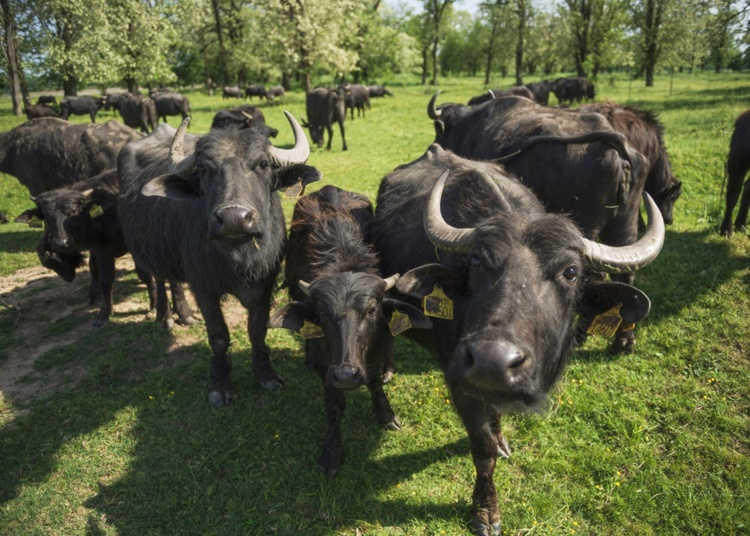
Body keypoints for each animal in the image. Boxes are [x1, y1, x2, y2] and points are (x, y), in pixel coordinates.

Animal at [116, 112, 322, 406]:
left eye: (262, 164)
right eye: (203, 170)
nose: (234, 218)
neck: (238, 256)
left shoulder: (265, 283)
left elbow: (257, 329)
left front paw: (266, 375)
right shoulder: (204, 287)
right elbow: (219, 336)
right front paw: (220, 386)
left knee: (174, 280)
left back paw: (185, 314)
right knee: (160, 278)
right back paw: (165, 317)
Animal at [270, 187, 434, 478]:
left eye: (371, 310)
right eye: (323, 313)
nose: (346, 375)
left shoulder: (374, 344)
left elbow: (375, 380)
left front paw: (386, 414)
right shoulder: (328, 365)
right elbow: (335, 403)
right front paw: (332, 452)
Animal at [370, 144, 664, 536]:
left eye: (571, 272)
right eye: (476, 262)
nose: (491, 361)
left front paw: (501, 437)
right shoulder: (458, 380)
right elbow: (482, 450)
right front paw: (485, 512)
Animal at [432, 92, 656, 352]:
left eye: (438, 129)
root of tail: (619, 150)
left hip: (587, 229)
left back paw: (583, 334)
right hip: (626, 223)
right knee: (626, 276)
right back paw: (624, 339)